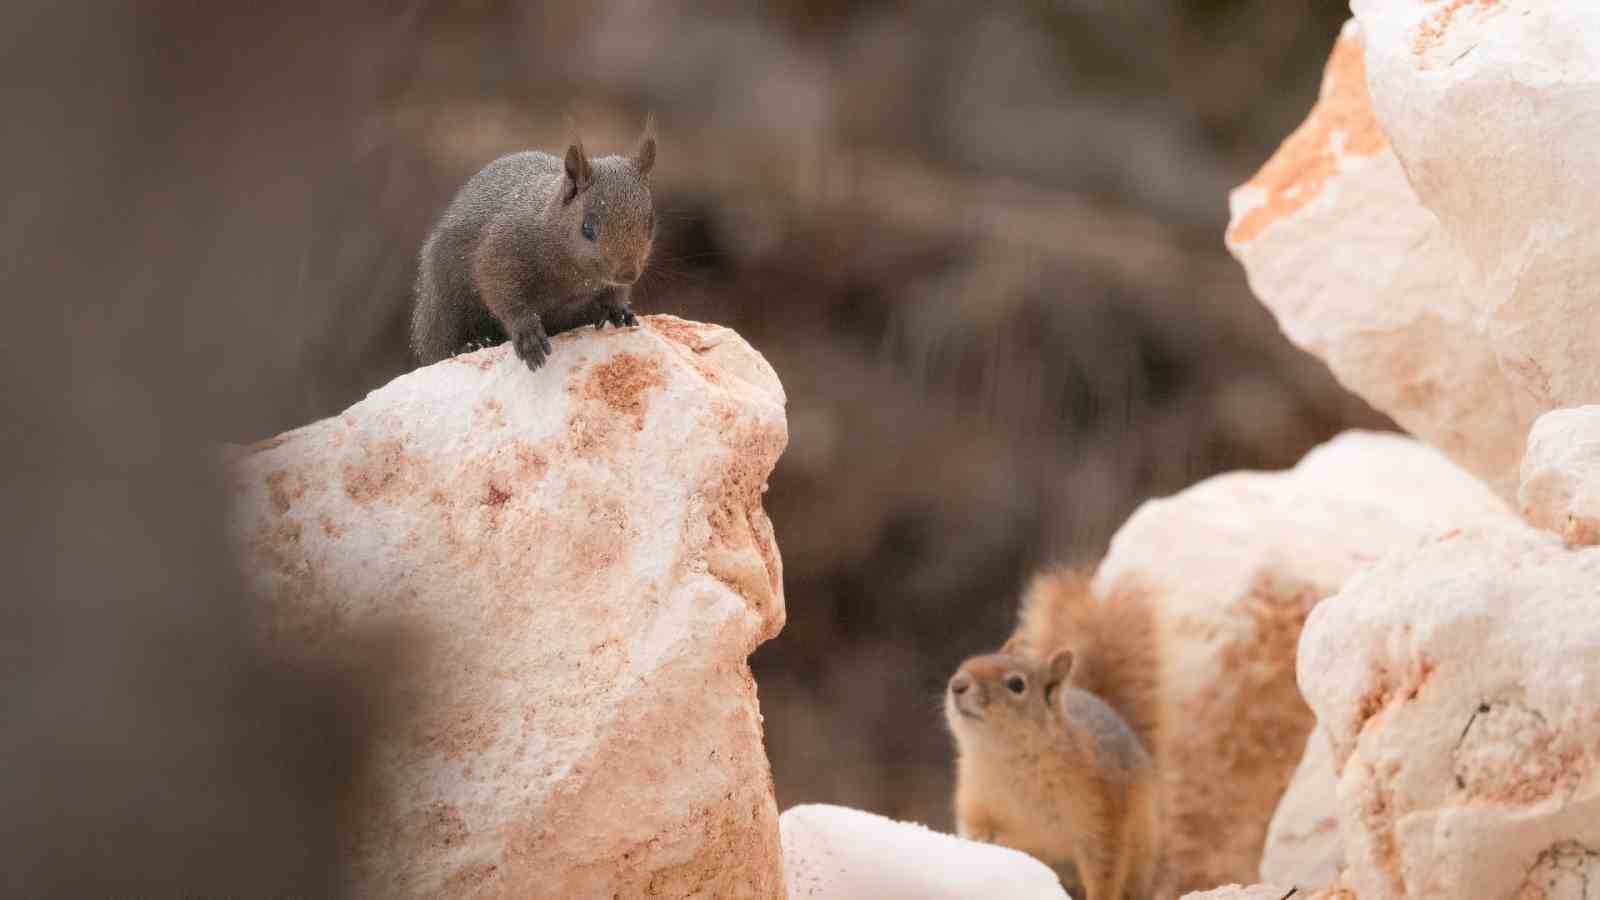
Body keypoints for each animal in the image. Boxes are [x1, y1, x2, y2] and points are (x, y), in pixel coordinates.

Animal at [419, 124, 662, 369]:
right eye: (587, 228)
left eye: (650, 223)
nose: (627, 274)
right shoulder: (500, 251)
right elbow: (503, 295)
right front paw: (528, 335)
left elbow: (615, 293)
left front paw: (619, 310)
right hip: (443, 309)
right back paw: (472, 345)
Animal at [947, 566, 1164, 896]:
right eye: (965, 664)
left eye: (1016, 684)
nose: (957, 685)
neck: (1006, 758)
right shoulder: (975, 801)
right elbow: (980, 828)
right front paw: (980, 842)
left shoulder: (1101, 815)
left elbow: (1105, 869)